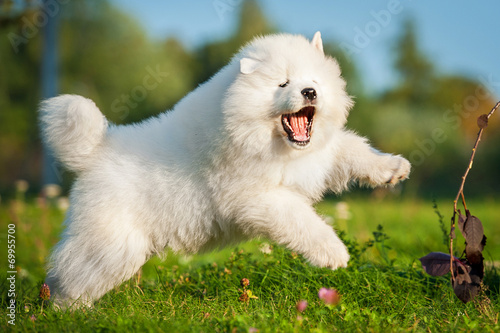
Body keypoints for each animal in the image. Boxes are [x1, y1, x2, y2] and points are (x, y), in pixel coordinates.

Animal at [40, 32, 410, 308]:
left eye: (314, 80)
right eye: (282, 84)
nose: (310, 92)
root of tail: (95, 150)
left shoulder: (319, 158)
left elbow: (353, 150)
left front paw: (393, 168)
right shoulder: (257, 198)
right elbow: (303, 221)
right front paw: (333, 253)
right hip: (114, 244)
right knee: (72, 277)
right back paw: (70, 312)